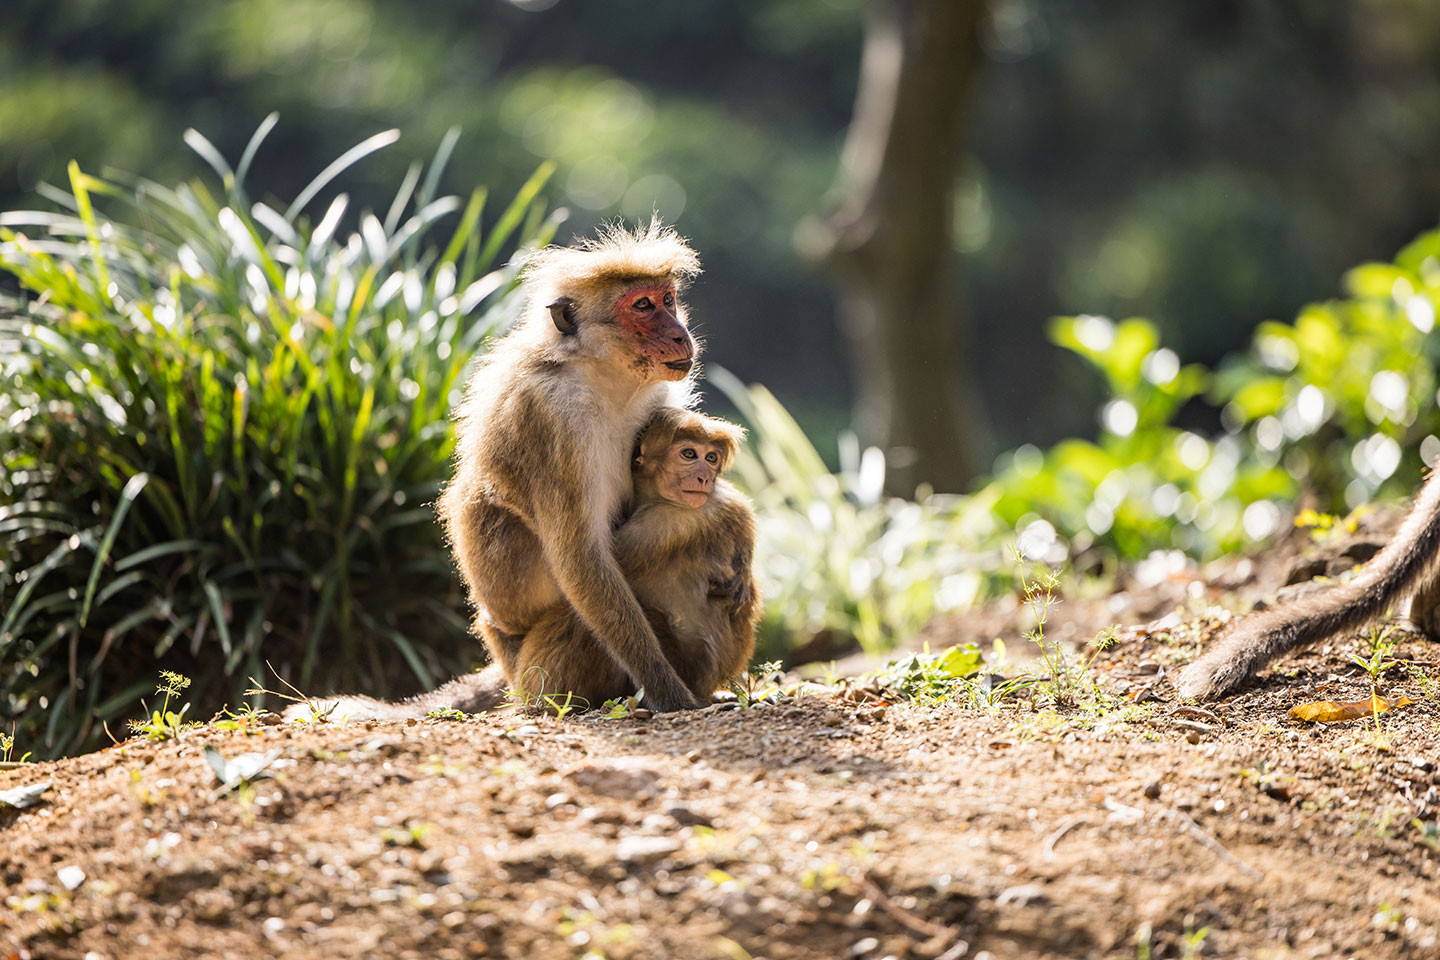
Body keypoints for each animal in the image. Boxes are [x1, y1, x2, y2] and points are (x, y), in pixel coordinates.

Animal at [292, 407, 760, 720]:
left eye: (711, 457)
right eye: (689, 454)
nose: (704, 476)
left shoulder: (673, 520)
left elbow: (586, 566)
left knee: (584, 613)